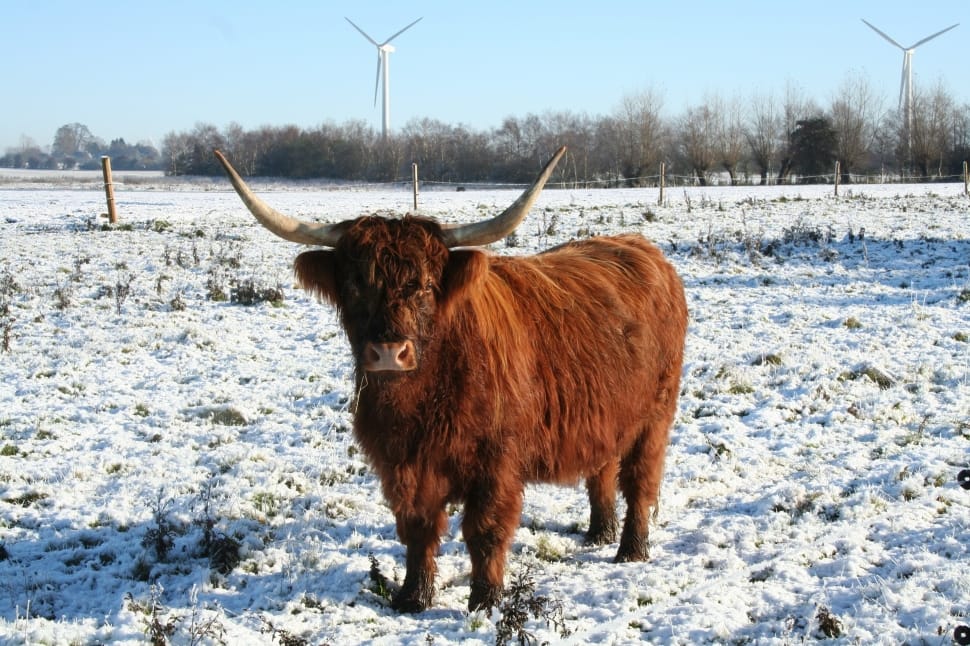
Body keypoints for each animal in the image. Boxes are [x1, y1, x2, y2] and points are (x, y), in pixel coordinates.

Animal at [214, 147, 688, 613]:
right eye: (354, 286)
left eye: (425, 285)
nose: (389, 352)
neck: (419, 402)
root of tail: (641, 247)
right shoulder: (400, 462)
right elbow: (417, 527)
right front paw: (412, 596)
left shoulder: (497, 462)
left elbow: (485, 530)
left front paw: (485, 600)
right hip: (606, 413)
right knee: (602, 468)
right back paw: (599, 533)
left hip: (655, 417)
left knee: (640, 480)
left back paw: (630, 549)